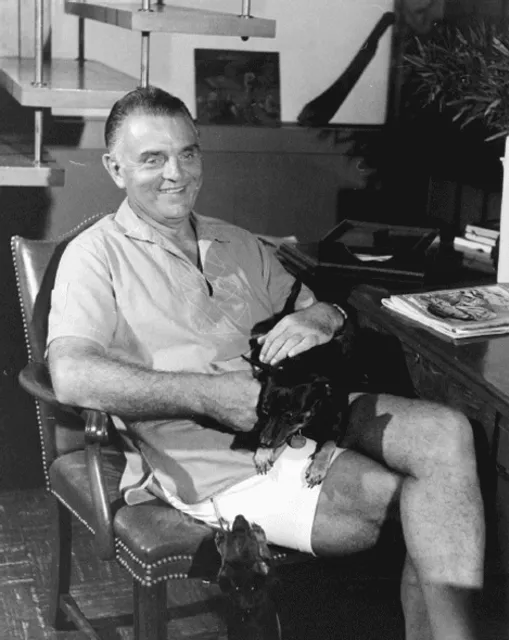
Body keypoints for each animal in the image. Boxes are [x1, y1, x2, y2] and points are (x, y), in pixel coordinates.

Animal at [240, 279, 353, 487]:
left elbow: (328, 444)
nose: (263, 443)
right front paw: (263, 453)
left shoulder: (339, 423)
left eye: (290, 415)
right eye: (264, 410)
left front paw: (317, 467)